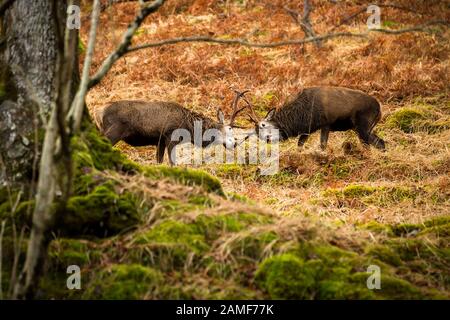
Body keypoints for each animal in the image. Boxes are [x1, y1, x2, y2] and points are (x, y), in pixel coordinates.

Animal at [96, 90, 250, 165]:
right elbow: (172, 162)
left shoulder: (159, 142)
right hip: (113, 131)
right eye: (229, 130)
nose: (234, 144)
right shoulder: (170, 137)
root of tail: (98, 112)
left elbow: (159, 162)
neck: (189, 127)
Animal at [244, 86, 384, 151]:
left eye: (263, 125)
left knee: (369, 146)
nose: (268, 139)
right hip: (362, 128)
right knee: (381, 142)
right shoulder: (308, 130)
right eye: (257, 134)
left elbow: (322, 145)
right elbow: (300, 146)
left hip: (363, 126)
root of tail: (379, 109)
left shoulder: (326, 124)